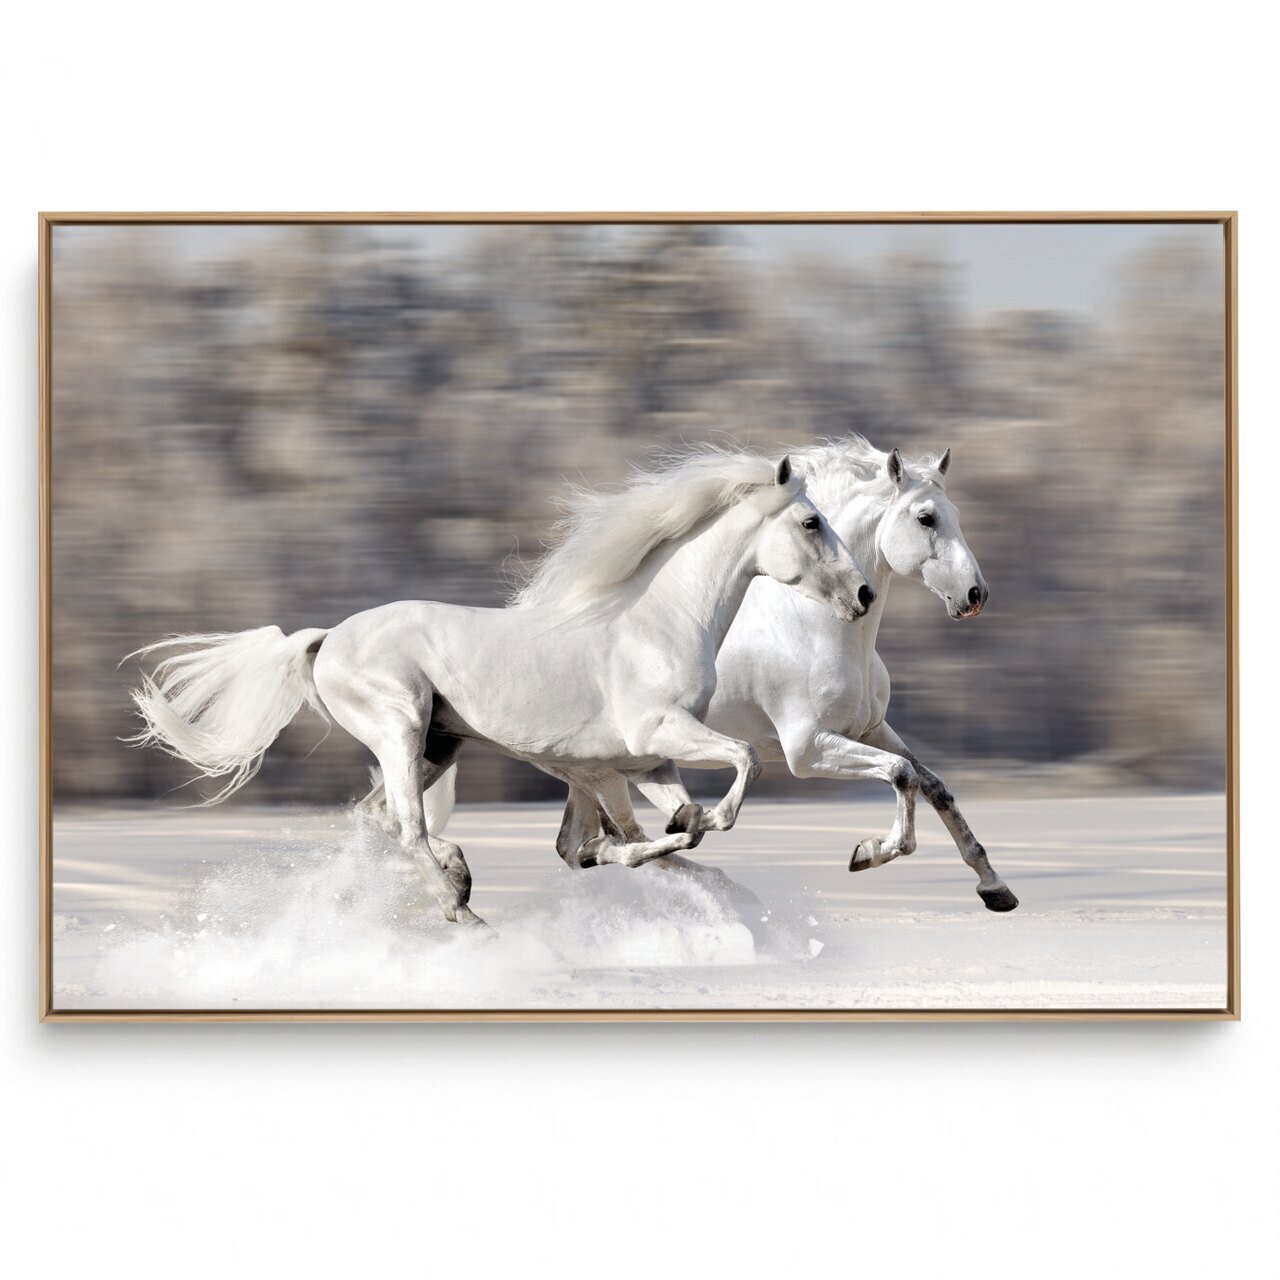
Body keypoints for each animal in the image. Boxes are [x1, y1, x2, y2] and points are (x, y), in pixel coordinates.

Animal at [127, 449, 874, 927]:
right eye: (811, 522)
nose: (864, 593)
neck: (657, 623)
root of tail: (326, 639)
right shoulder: (652, 741)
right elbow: (732, 773)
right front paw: (693, 827)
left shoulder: (646, 762)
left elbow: (657, 830)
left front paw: (680, 843)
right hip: (400, 728)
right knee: (406, 826)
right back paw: (461, 909)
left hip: (439, 745)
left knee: (380, 819)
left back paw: (460, 880)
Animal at [422, 436, 1019, 912]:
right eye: (926, 518)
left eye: (954, 513)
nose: (975, 595)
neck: (816, 625)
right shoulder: (808, 750)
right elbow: (900, 775)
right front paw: (869, 853)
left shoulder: (869, 729)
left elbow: (931, 783)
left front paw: (995, 889)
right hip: (596, 767)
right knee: (598, 842)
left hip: (592, 770)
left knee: (580, 846)